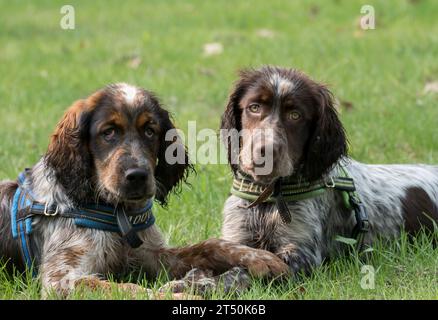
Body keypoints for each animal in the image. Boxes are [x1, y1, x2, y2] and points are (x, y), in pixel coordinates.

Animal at [0, 83, 288, 298]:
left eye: (150, 131)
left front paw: (261, 258)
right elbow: (132, 290)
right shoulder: (62, 279)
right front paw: (183, 294)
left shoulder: (151, 256)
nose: (137, 176)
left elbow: (210, 245)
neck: (118, 215)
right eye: (108, 132)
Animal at [221, 66, 438, 276]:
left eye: (295, 115)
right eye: (254, 107)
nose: (266, 152)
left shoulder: (302, 254)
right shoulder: (237, 235)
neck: (268, 197)